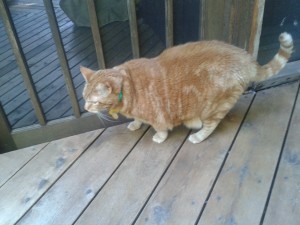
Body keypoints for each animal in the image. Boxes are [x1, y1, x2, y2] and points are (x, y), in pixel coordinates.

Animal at [80, 32, 292, 143]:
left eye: (93, 101)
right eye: (84, 97)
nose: (85, 108)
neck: (128, 86)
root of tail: (246, 58)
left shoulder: (158, 115)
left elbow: (160, 128)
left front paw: (159, 137)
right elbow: (138, 119)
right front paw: (135, 123)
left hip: (211, 109)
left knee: (211, 125)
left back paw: (198, 136)